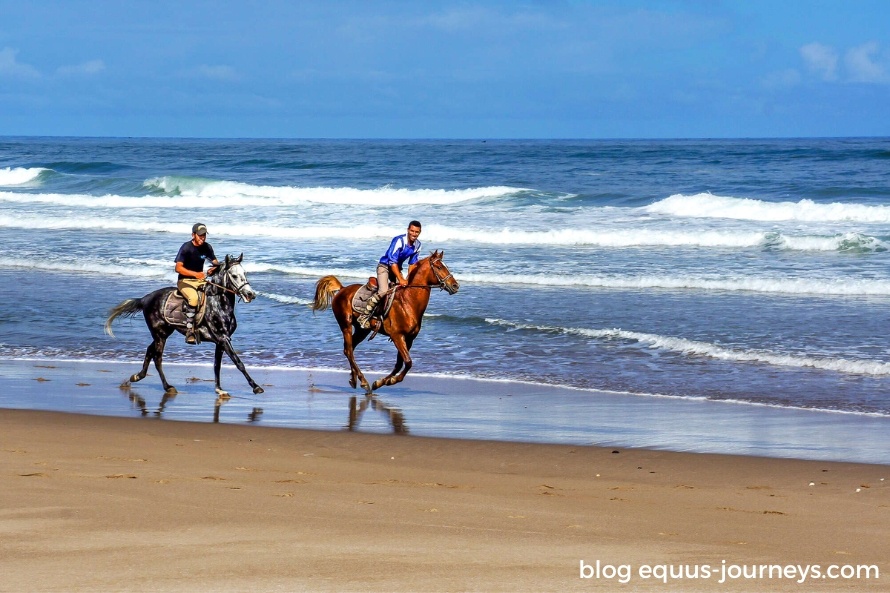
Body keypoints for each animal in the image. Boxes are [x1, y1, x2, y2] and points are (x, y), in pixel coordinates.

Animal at [312, 250, 458, 394]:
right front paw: (388, 381)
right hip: (345, 325)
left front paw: (381, 382)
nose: (455, 285)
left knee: (349, 349)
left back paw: (354, 379)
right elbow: (408, 362)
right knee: (348, 351)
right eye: (439, 267)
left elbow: (400, 363)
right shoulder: (397, 336)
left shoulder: (409, 338)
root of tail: (342, 289)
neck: (408, 302)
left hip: (362, 330)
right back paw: (363, 381)